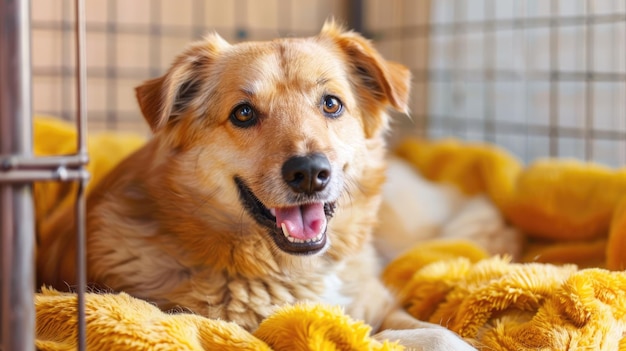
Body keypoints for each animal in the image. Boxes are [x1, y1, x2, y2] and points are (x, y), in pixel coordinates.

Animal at [37, 21, 472, 350]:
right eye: (243, 113)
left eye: (331, 103)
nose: (309, 172)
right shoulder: (270, 331)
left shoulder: (379, 303)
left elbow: (434, 332)